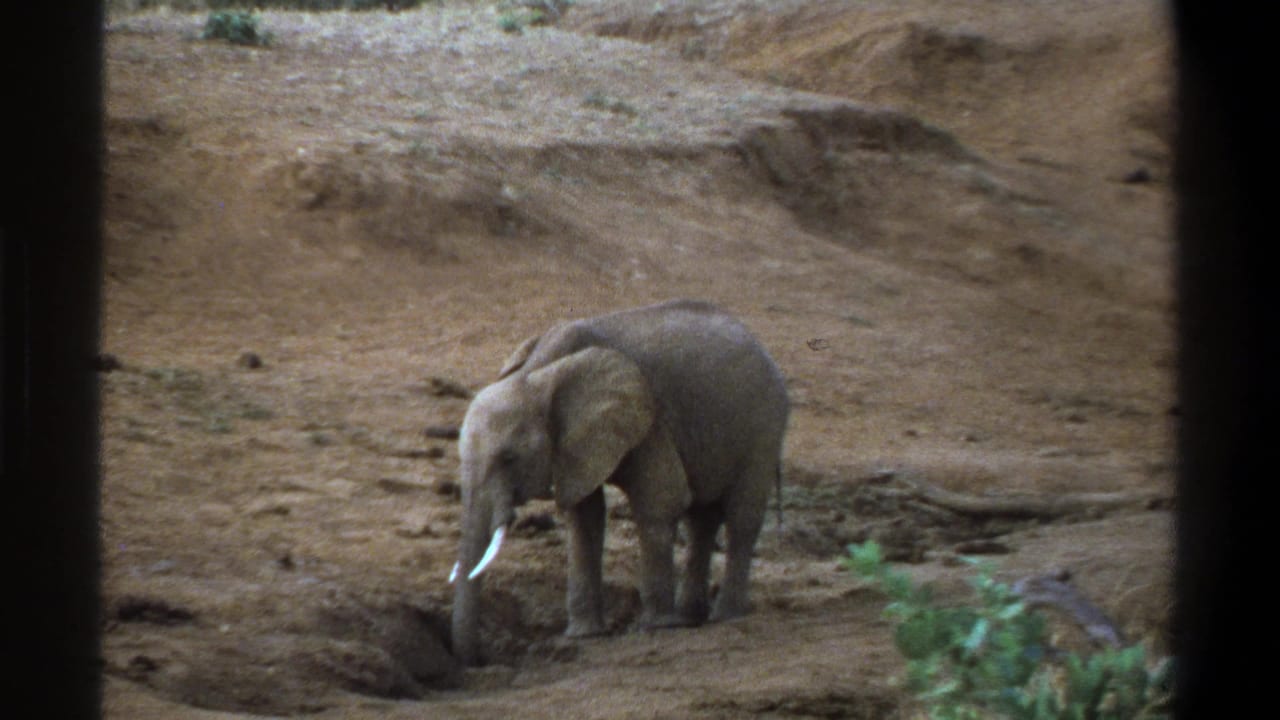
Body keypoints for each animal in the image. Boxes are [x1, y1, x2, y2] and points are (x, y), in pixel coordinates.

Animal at [448, 299, 789, 665]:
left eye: (509, 458)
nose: (478, 658)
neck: (537, 373)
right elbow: (584, 516)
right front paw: (585, 635)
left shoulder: (649, 418)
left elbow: (660, 500)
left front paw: (656, 627)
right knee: (702, 519)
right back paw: (690, 618)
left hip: (764, 426)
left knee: (741, 517)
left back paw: (724, 616)